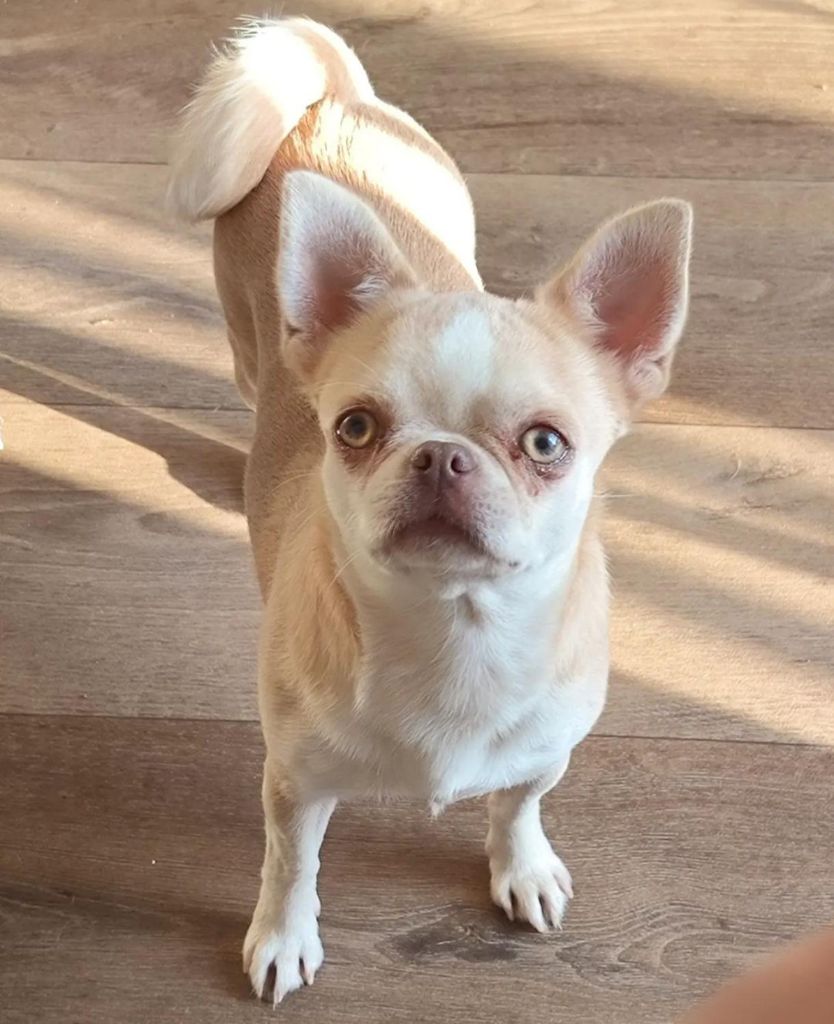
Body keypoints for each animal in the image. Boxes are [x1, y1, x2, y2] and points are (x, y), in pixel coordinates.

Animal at [168, 17, 692, 1004]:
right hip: (249, 345)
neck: (459, 630)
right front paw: (283, 936)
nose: (443, 455)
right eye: (355, 428)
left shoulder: (544, 753)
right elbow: (291, 864)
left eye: (546, 444)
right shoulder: (294, 783)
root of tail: (331, 100)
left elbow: (518, 804)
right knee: (251, 380)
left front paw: (522, 867)